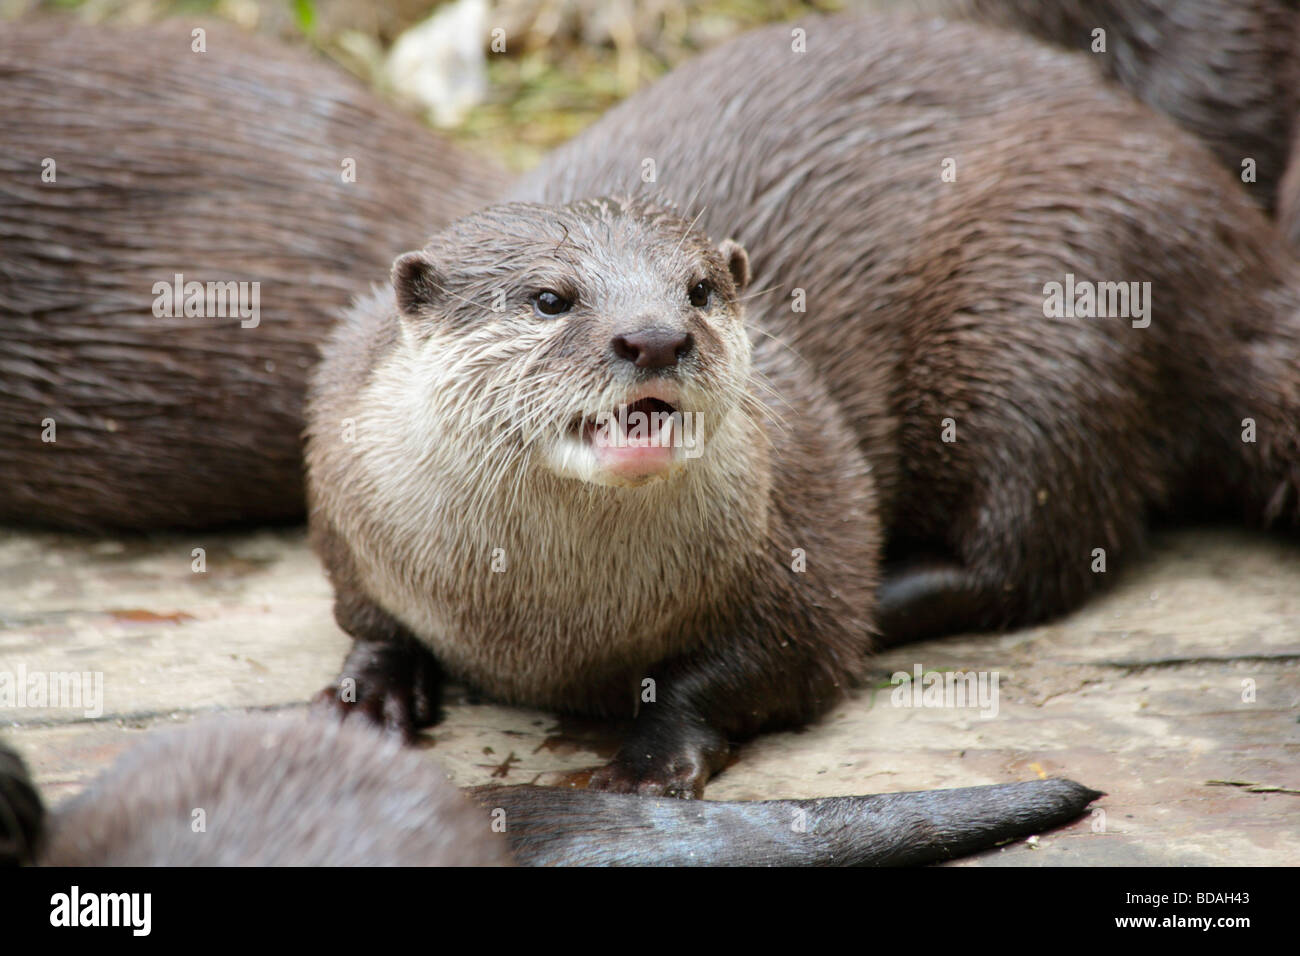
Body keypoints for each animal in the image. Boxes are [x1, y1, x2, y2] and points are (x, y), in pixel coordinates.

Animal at [306, 11, 1300, 796]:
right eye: (550, 298)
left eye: (700, 290)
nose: (654, 336)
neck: (542, 626)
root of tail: (1242, 264)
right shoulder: (344, 498)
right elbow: (365, 618)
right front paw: (368, 693)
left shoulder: (804, 502)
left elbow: (775, 660)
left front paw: (652, 759)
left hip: (1044, 302)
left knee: (1041, 544)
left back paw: (892, 594)